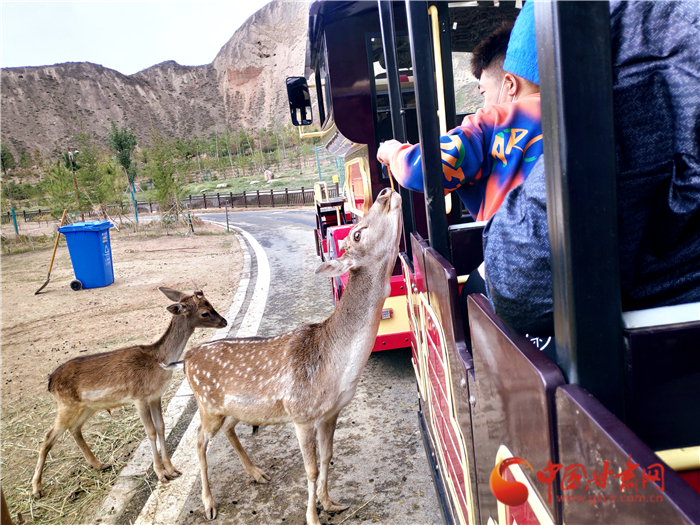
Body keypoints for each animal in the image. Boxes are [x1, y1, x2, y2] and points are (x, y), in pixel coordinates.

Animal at [31, 286, 226, 500]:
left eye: (210, 303)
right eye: (205, 312)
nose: (224, 321)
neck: (158, 361)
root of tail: (50, 382)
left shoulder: (155, 396)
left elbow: (161, 427)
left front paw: (172, 469)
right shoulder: (139, 397)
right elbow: (150, 431)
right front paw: (161, 474)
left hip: (88, 406)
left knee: (74, 428)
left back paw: (99, 464)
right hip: (66, 405)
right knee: (47, 437)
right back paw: (36, 489)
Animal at [175, 188, 402, 524]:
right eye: (357, 232)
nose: (386, 193)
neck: (337, 365)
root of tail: (188, 357)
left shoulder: (331, 412)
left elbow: (328, 457)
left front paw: (330, 503)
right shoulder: (301, 412)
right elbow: (311, 468)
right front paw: (312, 515)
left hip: (233, 408)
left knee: (228, 429)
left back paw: (256, 473)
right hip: (208, 405)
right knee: (200, 441)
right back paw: (209, 503)